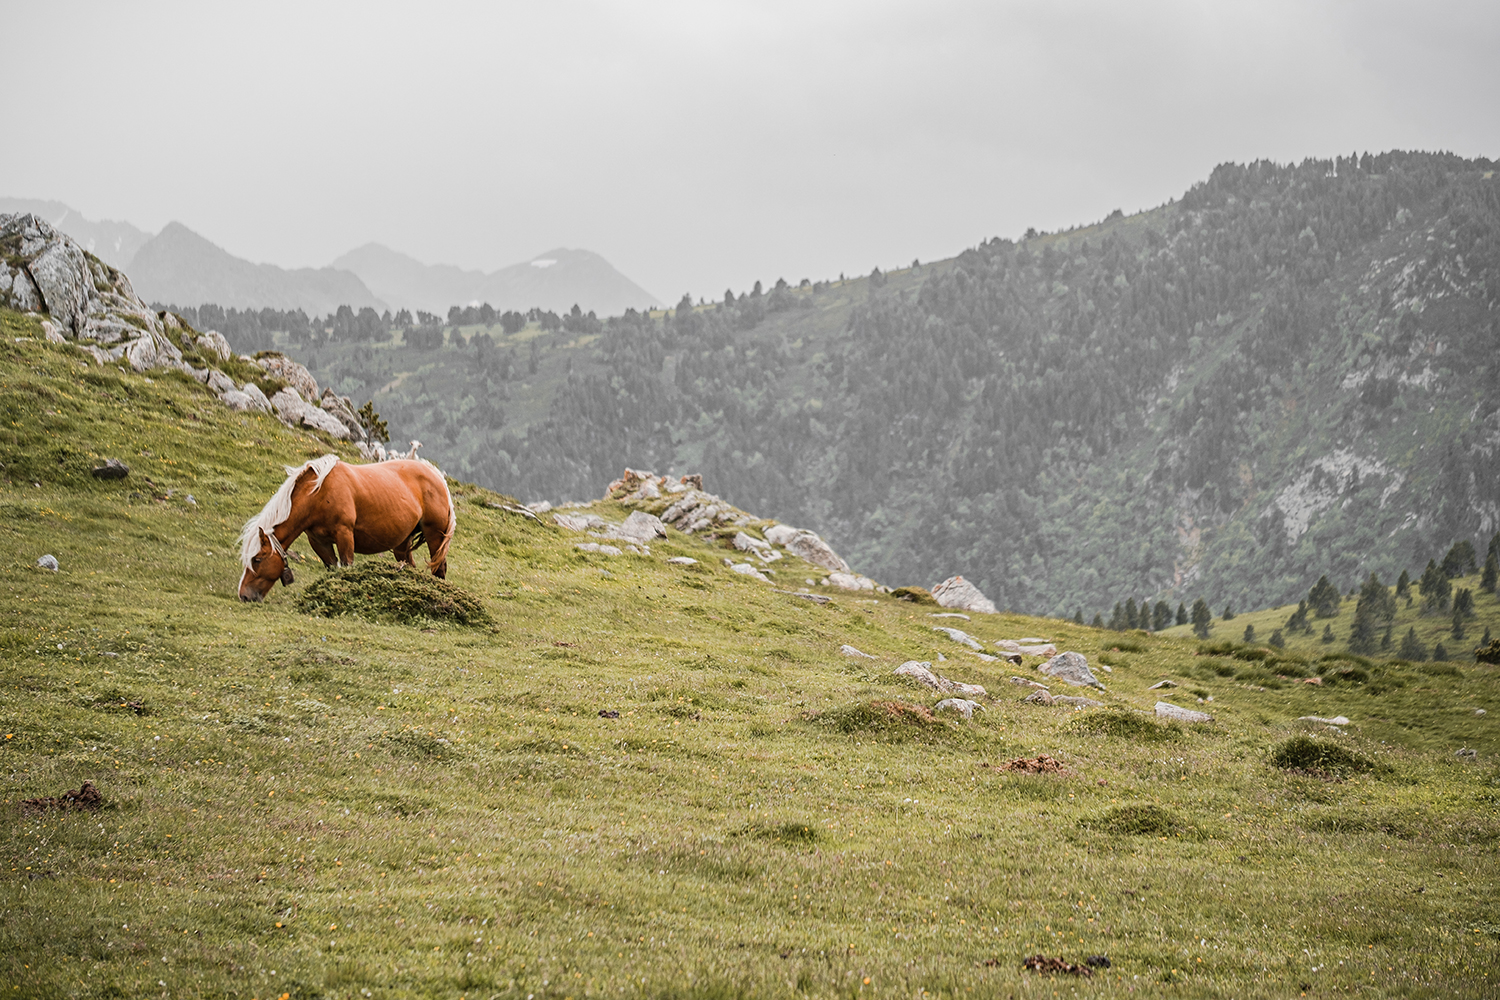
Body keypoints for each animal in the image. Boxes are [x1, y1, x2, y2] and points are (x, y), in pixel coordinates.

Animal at [234, 452, 453, 602]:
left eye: (257, 559)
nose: (244, 595)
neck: (319, 493)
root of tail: (436, 476)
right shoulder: (318, 542)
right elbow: (333, 568)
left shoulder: (344, 534)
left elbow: (347, 566)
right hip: (402, 543)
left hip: (434, 535)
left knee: (439, 569)